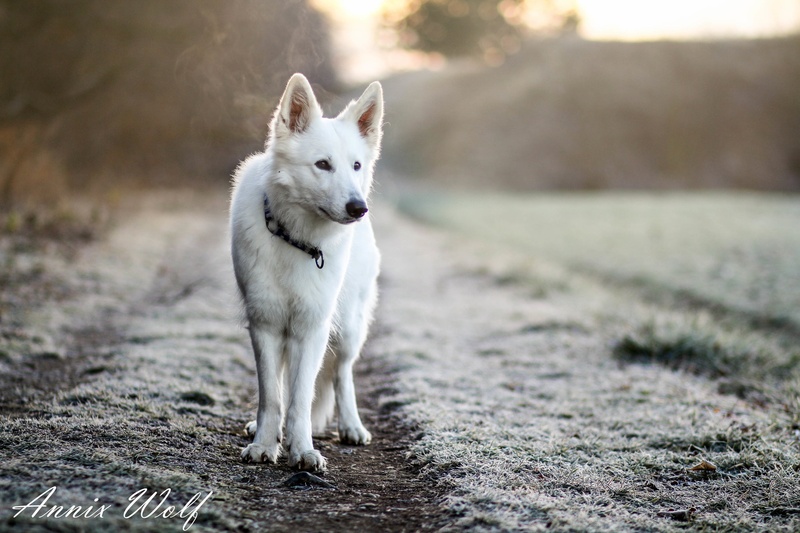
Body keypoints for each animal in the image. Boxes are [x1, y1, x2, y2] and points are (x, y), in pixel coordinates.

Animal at [229, 73, 383, 472]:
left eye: (356, 166)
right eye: (323, 165)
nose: (358, 207)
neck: (297, 240)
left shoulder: (312, 328)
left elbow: (301, 398)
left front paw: (301, 450)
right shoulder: (265, 324)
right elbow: (272, 396)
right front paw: (264, 444)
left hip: (348, 329)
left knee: (342, 375)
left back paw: (351, 426)